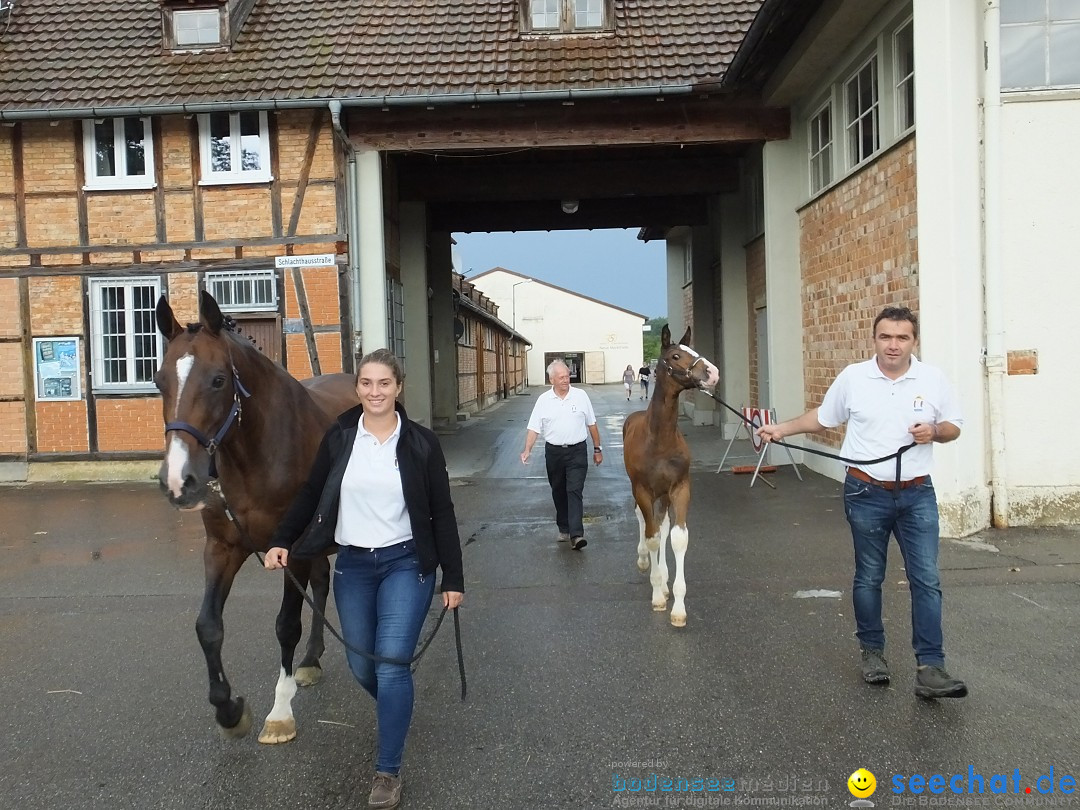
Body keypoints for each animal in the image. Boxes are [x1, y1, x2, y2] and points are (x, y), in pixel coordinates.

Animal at [154, 295, 356, 747]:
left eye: (217, 381)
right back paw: (311, 660)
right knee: (322, 582)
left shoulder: (292, 550)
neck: (257, 454)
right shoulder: (223, 548)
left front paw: (280, 713)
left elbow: (285, 625)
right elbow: (208, 626)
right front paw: (229, 710)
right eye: (158, 381)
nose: (179, 481)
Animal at [626, 324, 717, 626]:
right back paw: (645, 561)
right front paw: (657, 594)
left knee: (662, 524)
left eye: (694, 350)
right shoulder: (643, 490)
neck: (659, 439)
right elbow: (652, 535)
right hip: (642, 491)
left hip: (664, 494)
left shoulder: (679, 487)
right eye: (676, 356)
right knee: (644, 521)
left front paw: (677, 606)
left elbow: (676, 537)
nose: (713, 372)